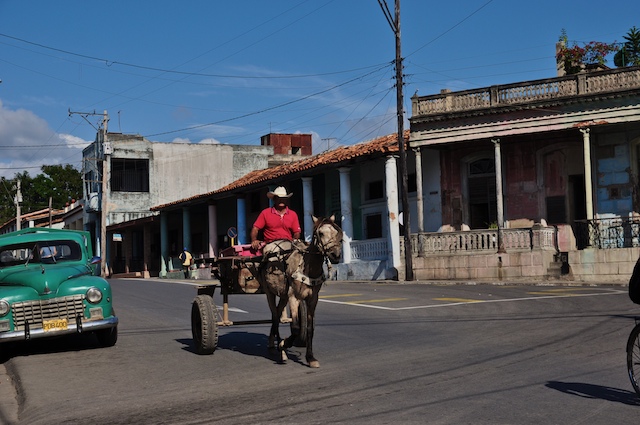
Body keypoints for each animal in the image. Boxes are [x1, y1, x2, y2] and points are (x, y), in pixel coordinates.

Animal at [260, 214, 342, 366]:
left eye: (336, 232)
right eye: (320, 233)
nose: (336, 255)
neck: (307, 268)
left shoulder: (313, 299)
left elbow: (310, 328)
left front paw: (310, 357)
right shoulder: (294, 297)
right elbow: (296, 328)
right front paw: (283, 345)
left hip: (283, 295)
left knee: (277, 313)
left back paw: (273, 343)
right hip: (269, 292)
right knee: (274, 316)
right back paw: (278, 348)